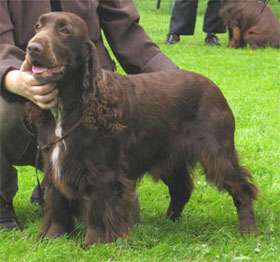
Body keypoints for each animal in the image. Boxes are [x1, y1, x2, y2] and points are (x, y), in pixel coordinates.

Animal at [26, 11, 258, 246]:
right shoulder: (54, 164)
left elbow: (97, 212)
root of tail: (215, 87)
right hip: (170, 156)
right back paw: (168, 222)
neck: (72, 105)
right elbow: (57, 208)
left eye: (65, 30)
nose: (32, 48)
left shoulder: (103, 172)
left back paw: (249, 230)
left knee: (242, 189)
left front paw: (92, 244)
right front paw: (51, 239)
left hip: (216, 151)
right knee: (181, 190)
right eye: (37, 26)